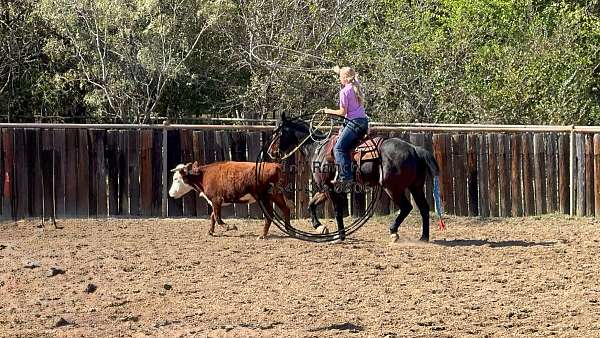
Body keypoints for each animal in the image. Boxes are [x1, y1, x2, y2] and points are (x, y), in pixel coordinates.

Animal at [274, 114, 440, 243]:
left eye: (278, 132)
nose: (271, 151)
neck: (317, 148)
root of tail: (414, 149)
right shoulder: (326, 187)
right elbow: (311, 204)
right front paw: (320, 227)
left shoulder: (328, 187)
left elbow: (337, 210)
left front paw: (339, 236)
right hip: (416, 186)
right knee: (424, 208)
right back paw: (424, 237)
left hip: (392, 188)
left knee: (407, 207)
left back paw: (394, 231)